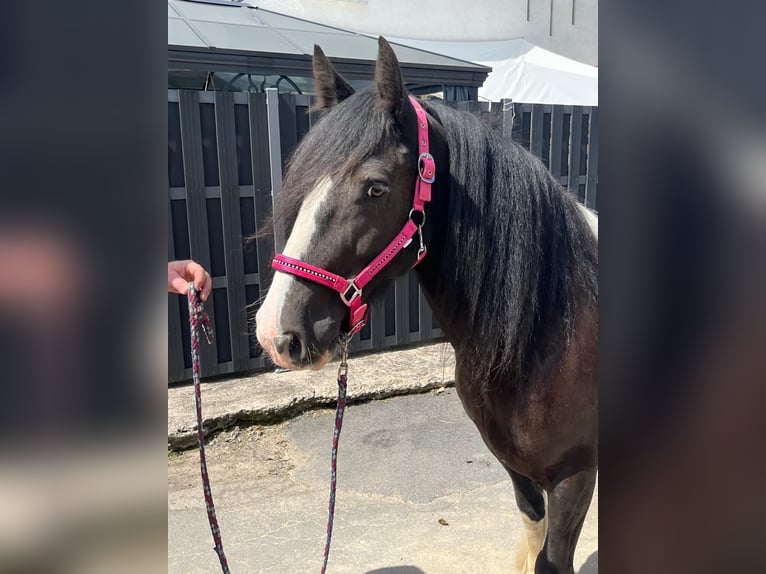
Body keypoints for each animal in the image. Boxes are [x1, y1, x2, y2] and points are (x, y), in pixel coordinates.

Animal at [258, 37, 600, 574]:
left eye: (375, 187)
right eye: (304, 183)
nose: (277, 333)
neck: (552, 329)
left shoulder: (576, 476)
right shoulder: (518, 471)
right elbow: (532, 529)